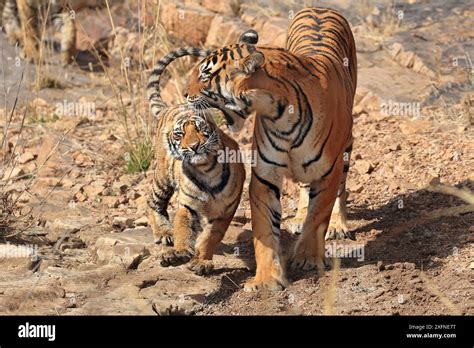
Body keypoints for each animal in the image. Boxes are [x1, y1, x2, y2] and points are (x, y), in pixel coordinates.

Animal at [151, 8, 356, 290]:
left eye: (205, 75)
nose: (183, 94)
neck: (280, 113)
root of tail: (320, 8)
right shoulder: (264, 176)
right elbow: (264, 231)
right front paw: (266, 278)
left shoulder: (328, 172)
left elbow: (318, 217)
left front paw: (306, 257)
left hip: (345, 147)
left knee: (340, 190)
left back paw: (338, 224)